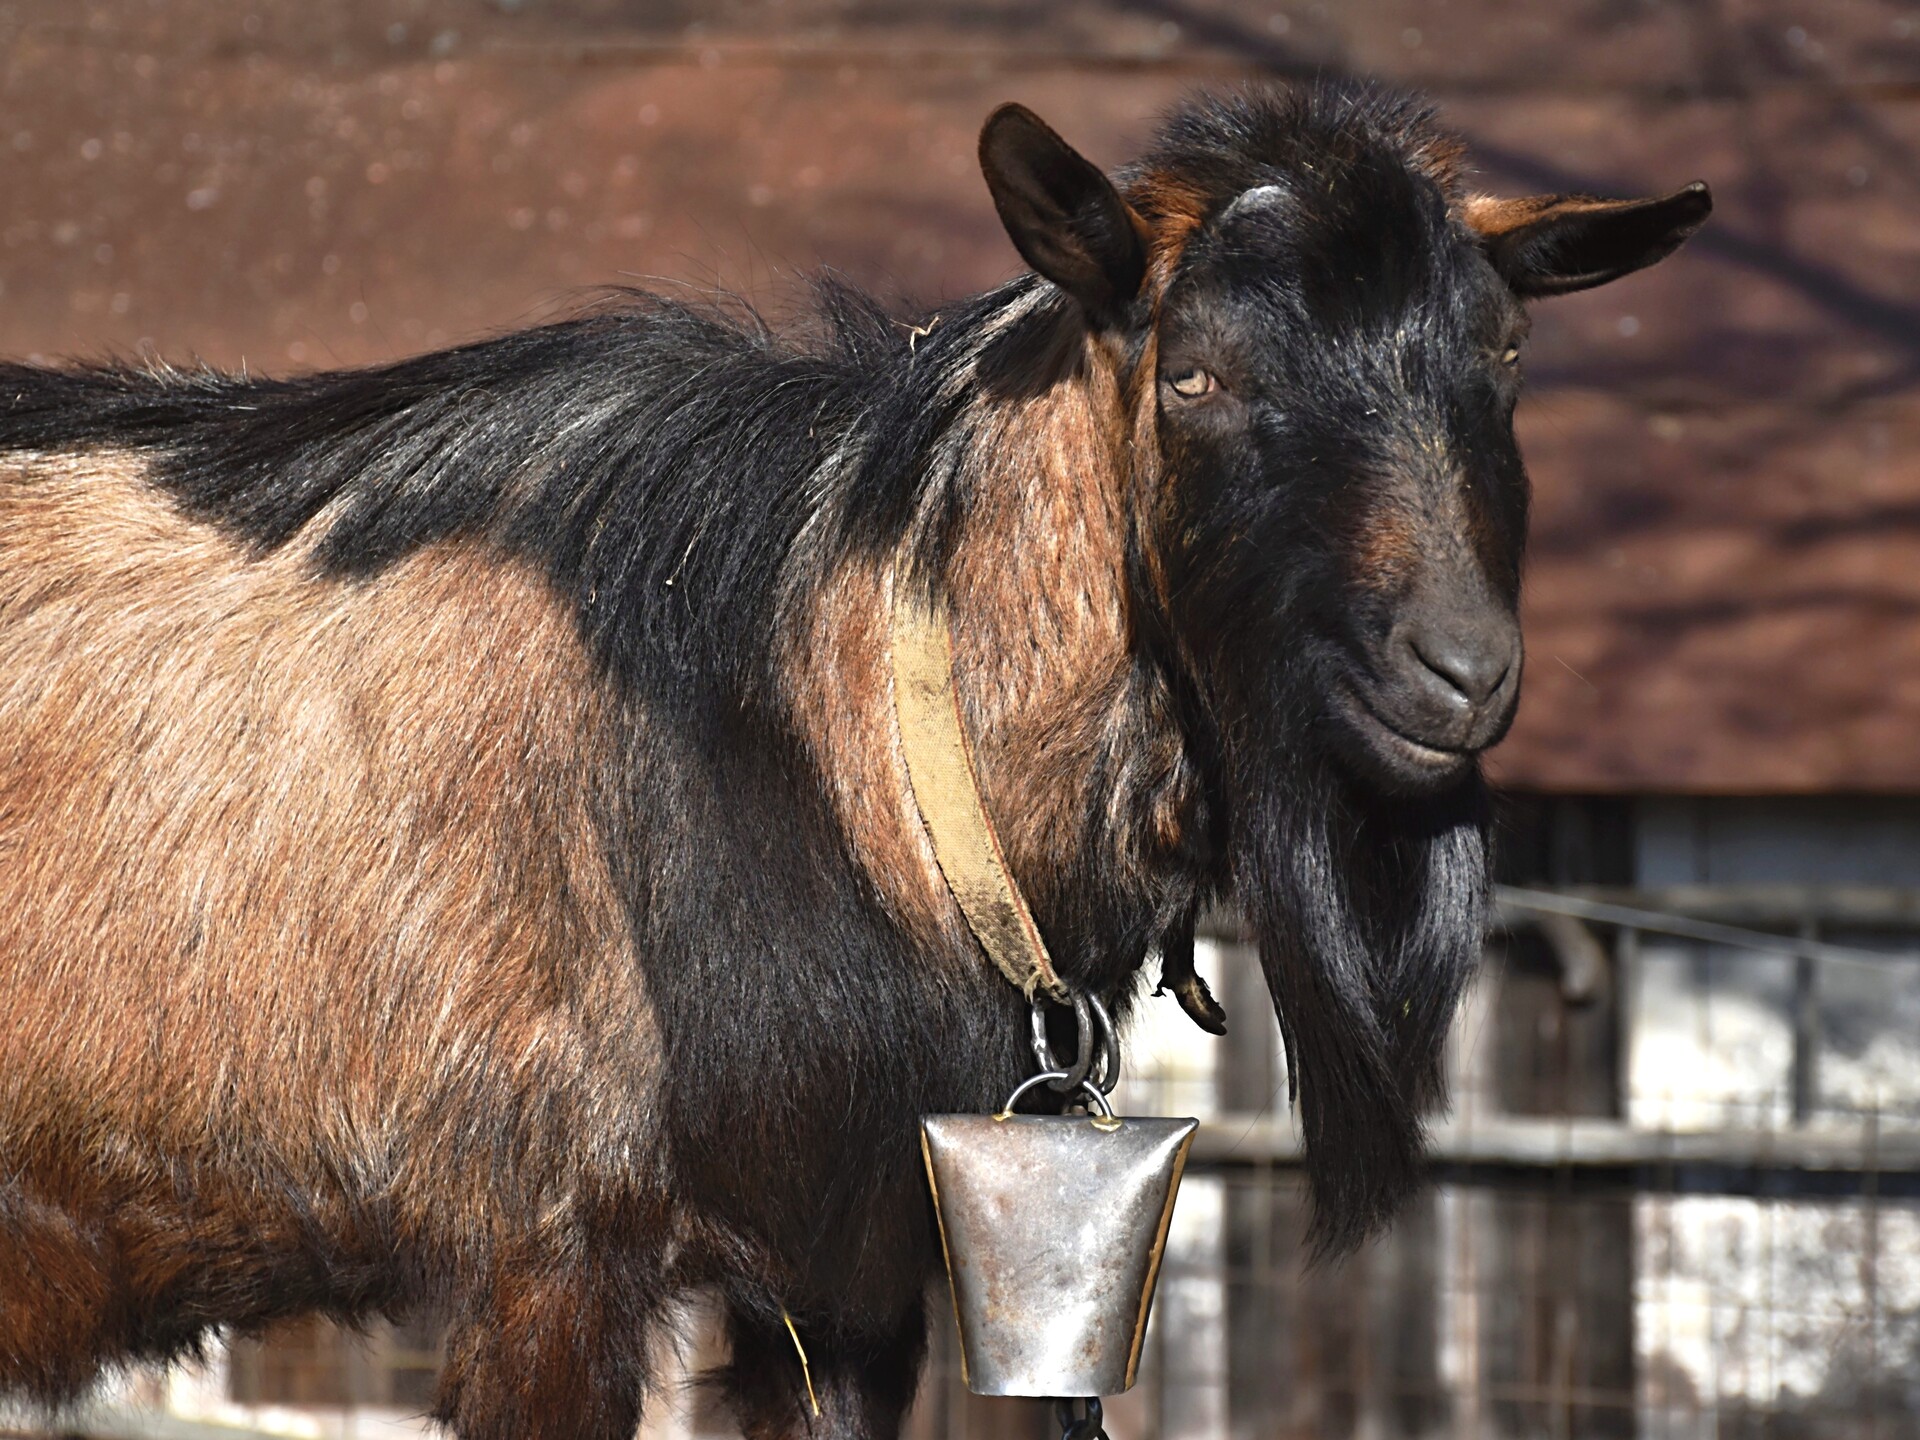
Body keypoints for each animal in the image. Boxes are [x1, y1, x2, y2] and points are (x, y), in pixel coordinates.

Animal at [0, 86, 1707, 1439]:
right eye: (1198, 373)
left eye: (1504, 353)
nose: (1460, 669)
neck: (833, 730)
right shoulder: (548, 1252)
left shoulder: (846, 1270)